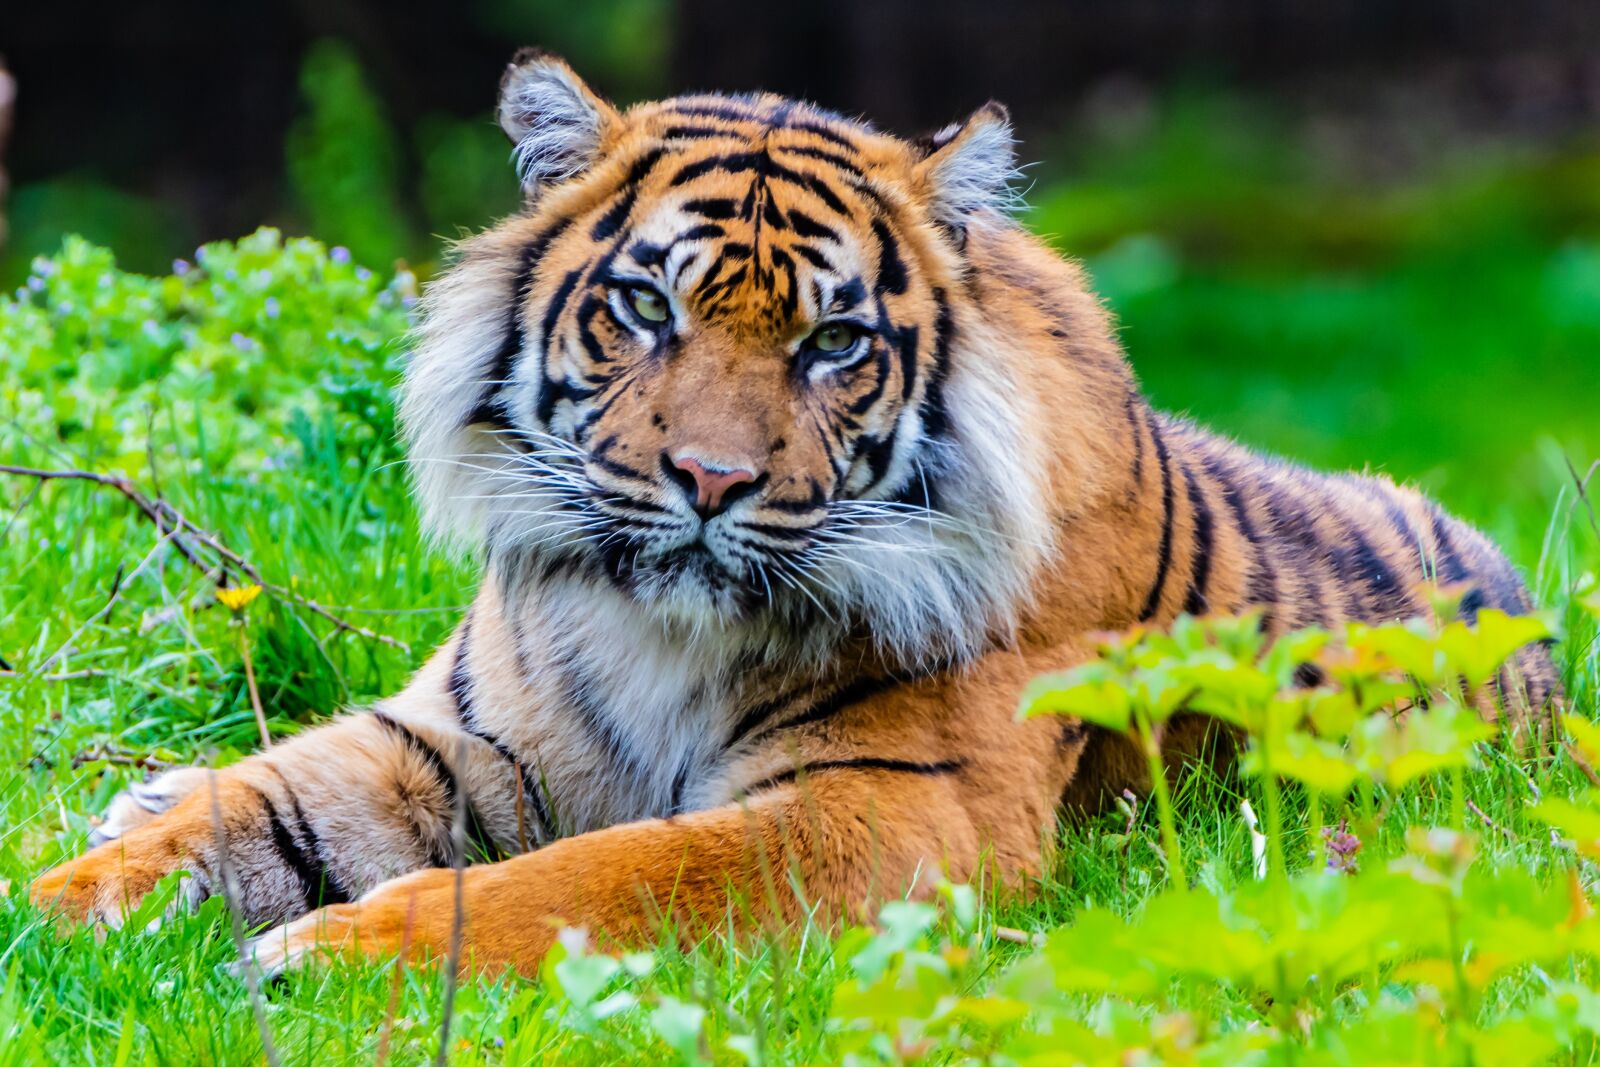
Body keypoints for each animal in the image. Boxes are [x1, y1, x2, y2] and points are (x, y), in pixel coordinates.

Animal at [31, 49, 1559, 974]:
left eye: (833, 342)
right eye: (646, 306)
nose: (711, 482)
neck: (655, 628)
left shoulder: (898, 811)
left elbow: (604, 877)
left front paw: (321, 957)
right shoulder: (473, 735)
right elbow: (251, 806)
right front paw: (52, 912)